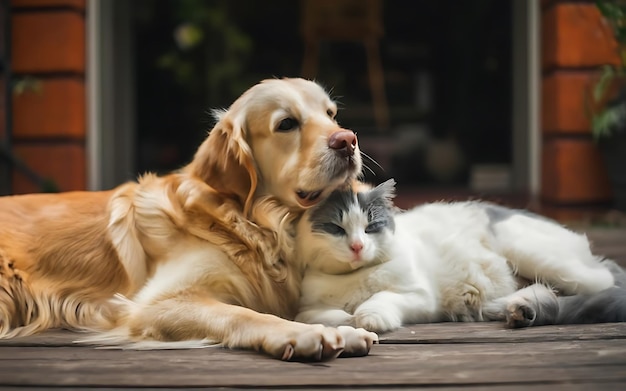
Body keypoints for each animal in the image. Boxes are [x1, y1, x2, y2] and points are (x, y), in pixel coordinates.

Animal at [0, 77, 376, 362]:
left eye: (331, 114)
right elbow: (244, 313)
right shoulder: (155, 302)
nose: (348, 140)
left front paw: (344, 330)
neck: (253, 225)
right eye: (287, 124)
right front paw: (304, 334)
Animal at [294, 179, 624, 332]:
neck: (354, 280)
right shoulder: (307, 310)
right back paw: (518, 310)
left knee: (600, 284)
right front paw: (347, 319)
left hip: (542, 258)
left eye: (371, 226)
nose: (357, 247)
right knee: (545, 292)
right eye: (337, 228)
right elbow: (326, 317)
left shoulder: (419, 295)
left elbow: (380, 298)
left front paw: (369, 317)